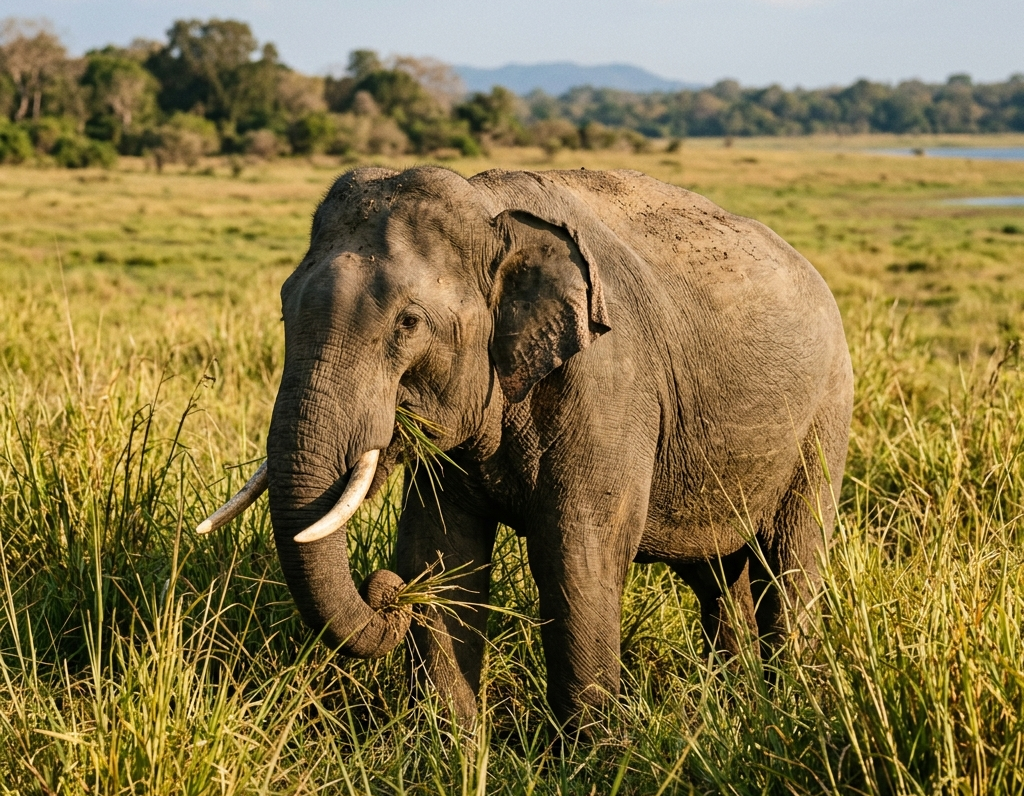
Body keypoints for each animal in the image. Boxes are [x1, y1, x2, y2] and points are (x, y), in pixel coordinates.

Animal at [198, 165, 854, 727]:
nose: (385, 592)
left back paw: (786, 704)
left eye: (409, 323)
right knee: (718, 575)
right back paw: (738, 700)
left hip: (827, 413)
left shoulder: (609, 385)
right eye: (284, 306)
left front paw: (594, 757)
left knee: (791, 562)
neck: (492, 213)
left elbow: (576, 557)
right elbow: (442, 555)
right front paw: (453, 751)